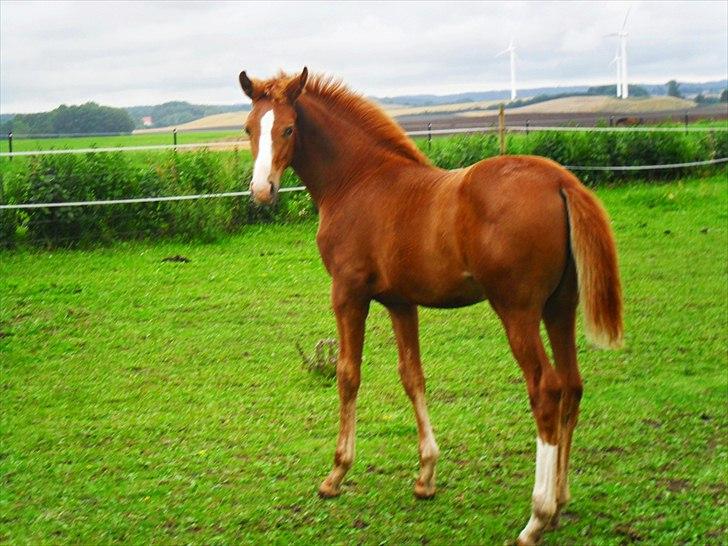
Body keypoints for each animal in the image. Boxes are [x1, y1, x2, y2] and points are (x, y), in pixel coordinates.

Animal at [239, 69, 620, 544]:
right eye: (249, 129)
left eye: (289, 128)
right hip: (560, 306)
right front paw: (426, 476)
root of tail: (560, 181)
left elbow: (348, 375)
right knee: (572, 384)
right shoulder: (401, 303)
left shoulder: (348, 293)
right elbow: (412, 376)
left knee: (546, 389)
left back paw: (537, 516)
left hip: (517, 311)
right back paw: (561, 501)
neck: (359, 181)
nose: (262, 190)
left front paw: (336, 474)